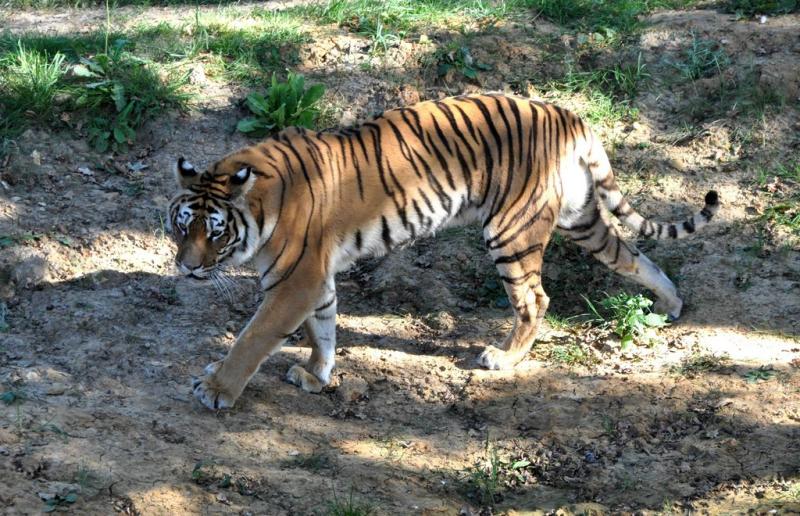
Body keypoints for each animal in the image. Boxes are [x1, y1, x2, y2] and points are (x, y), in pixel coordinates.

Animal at [167, 93, 719, 410]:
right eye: (180, 227)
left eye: (215, 233)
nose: (186, 269)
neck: (258, 204)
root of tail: (567, 116)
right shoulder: (315, 281)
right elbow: (323, 330)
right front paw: (317, 376)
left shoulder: (294, 283)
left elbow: (253, 338)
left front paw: (216, 390)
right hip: (579, 217)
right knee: (631, 254)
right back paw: (670, 303)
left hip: (511, 231)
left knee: (535, 299)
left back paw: (503, 358)